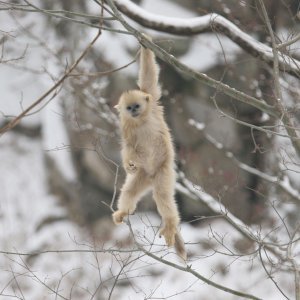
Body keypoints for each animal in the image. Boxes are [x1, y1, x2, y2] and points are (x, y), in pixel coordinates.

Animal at [112, 35, 186, 260]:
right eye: (129, 108)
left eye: (137, 106)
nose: (134, 111)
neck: (140, 121)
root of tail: (152, 176)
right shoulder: (126, 127)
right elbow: (128, 146)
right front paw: (127, 163)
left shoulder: (152, 101)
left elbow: (149, 78)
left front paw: (144, 41)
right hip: (142, 175)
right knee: (129, 191)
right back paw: (123, 212)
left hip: (163, 173)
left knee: (163, 197)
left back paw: (170, 225)